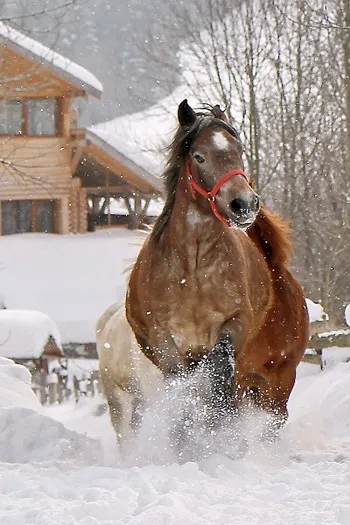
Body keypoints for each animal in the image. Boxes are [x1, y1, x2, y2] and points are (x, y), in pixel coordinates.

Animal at [125, 99, 308, 442]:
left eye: (238, 150)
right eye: (199, 156)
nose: (244, 204)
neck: (194, 269)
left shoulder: (235, 325)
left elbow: (220, 369)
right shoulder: (164, 339)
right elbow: (183, 391)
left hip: (279, 382)